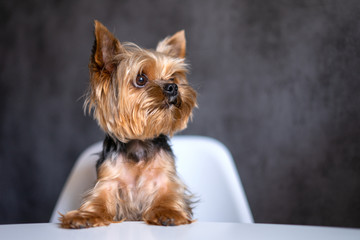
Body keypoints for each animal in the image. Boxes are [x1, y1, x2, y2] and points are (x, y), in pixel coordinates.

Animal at [60, 21, 198, 229]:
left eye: (173, 78)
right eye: (141, 79)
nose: (173, 87)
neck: (139, 144)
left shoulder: (165, 176)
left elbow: (168, 194)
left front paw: (169, 212)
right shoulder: (108, 180)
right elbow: (98, 200)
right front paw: (84, 216)